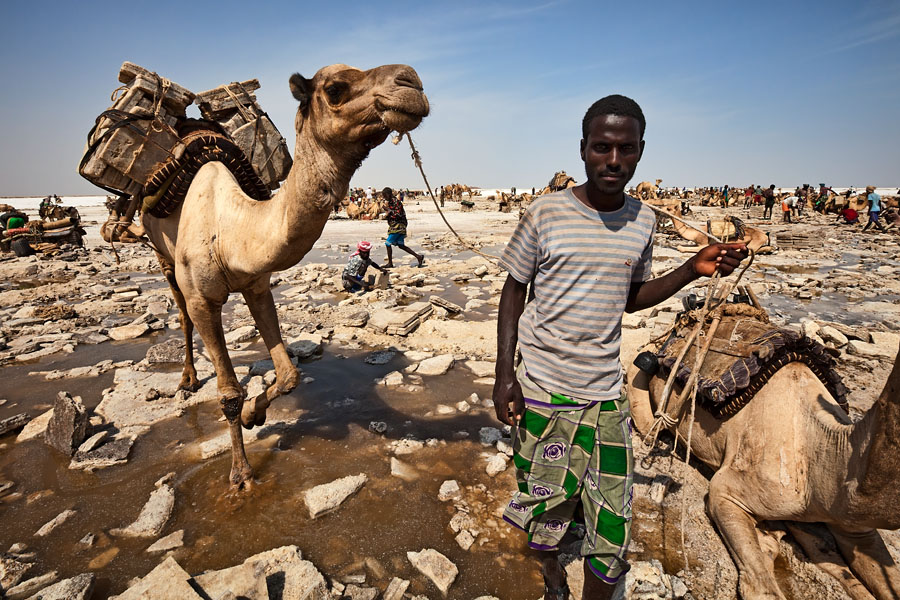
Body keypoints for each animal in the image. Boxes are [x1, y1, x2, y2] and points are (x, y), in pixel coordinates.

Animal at [142, 63, 429, 488]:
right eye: (335, 89)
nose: (411, 82)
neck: (230, 230)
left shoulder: (257, 285)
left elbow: (290, 373)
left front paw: (254, 415)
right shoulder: (203, 298)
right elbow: (228, 393)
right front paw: (241, 474)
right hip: (161, 253)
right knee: (181, 313)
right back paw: (188, 379)